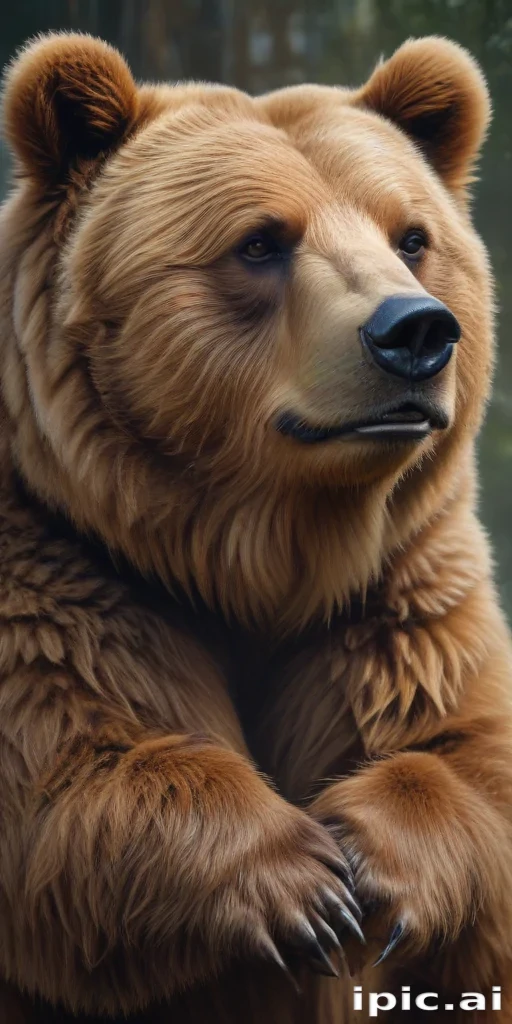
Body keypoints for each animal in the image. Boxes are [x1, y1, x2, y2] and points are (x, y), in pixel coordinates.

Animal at [0, 26, 510, 1024]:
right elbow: (63, 762)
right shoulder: (60, 556)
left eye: (413, 237)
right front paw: (303, 884)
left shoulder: (398, 584)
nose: (415, 333)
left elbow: (474, 751)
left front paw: (368, 852)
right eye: (260, 241)